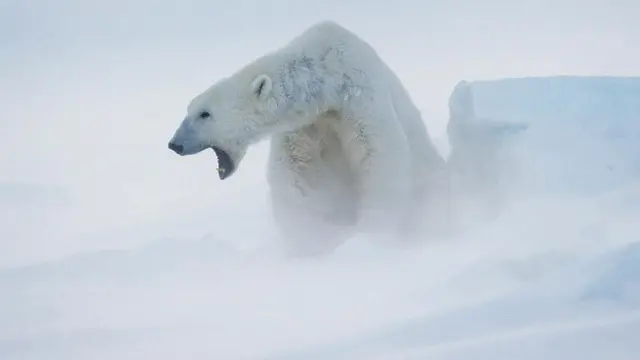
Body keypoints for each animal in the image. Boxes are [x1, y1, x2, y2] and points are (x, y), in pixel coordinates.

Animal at [170, 21, 450, 256]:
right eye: (189, 109)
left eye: (204, 113)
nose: (174, 144)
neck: (326, 82)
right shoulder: (305, 126)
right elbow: (297, 176)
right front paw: (310, 238)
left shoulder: (360, 100)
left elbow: (379, 159)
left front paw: (371, 234)